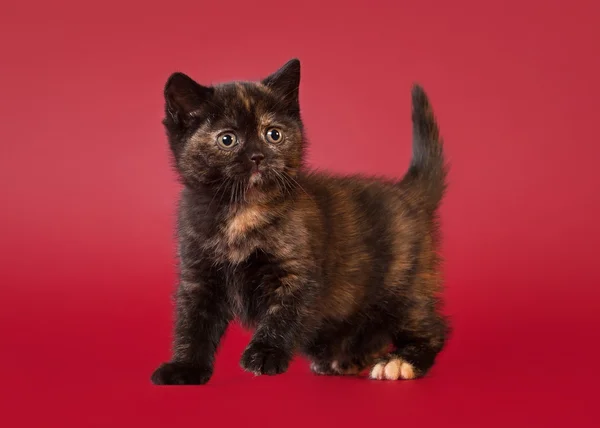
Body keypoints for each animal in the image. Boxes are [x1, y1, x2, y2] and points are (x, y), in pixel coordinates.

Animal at [151, 57, 450, 384]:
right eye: (227, 139)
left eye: (274, 134)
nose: (257, 156)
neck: (243, 211)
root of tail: (408, 193)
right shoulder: (199, 276)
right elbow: (193, 325)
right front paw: (185, 367)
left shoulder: (297, 273)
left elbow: (283, 315)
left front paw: (265, 354)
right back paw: (344, 358)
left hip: (403, 284)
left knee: (432, 327)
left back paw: (400, 361)